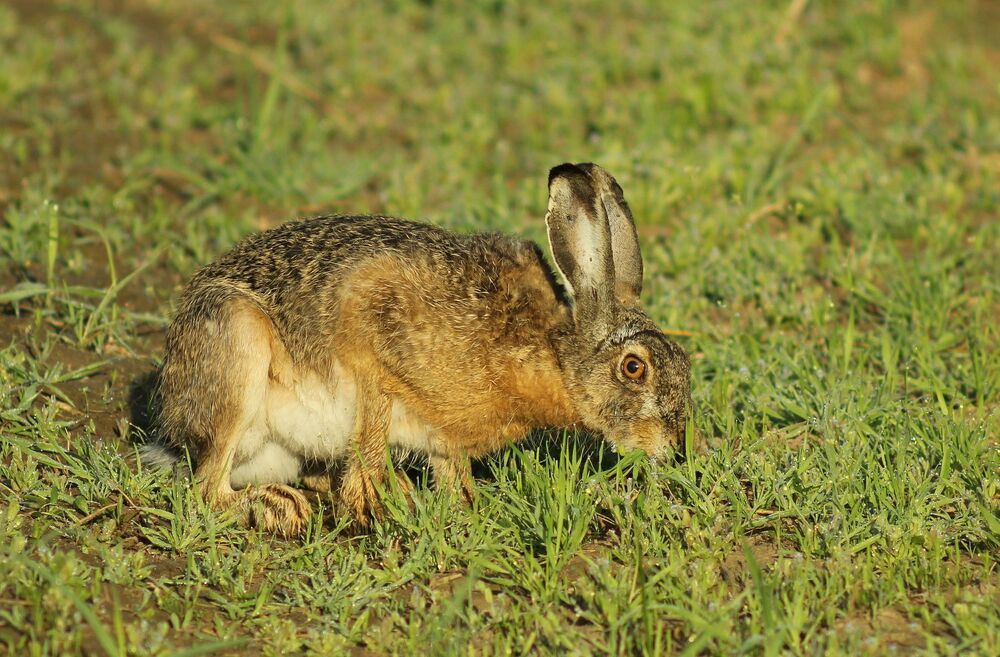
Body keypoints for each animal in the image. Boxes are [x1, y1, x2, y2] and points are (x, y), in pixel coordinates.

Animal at [148, 162, 691, 536]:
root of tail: (176, 429)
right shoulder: (368, 324)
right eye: (634, 367)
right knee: (206, 489)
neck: (553, 354)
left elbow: (450, 471)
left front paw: (466, 507)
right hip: (235, 349)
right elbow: (371, 426)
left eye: (684, 363)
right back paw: (278, 507)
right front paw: (380, 503)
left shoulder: (445, 435)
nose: (676, 449)